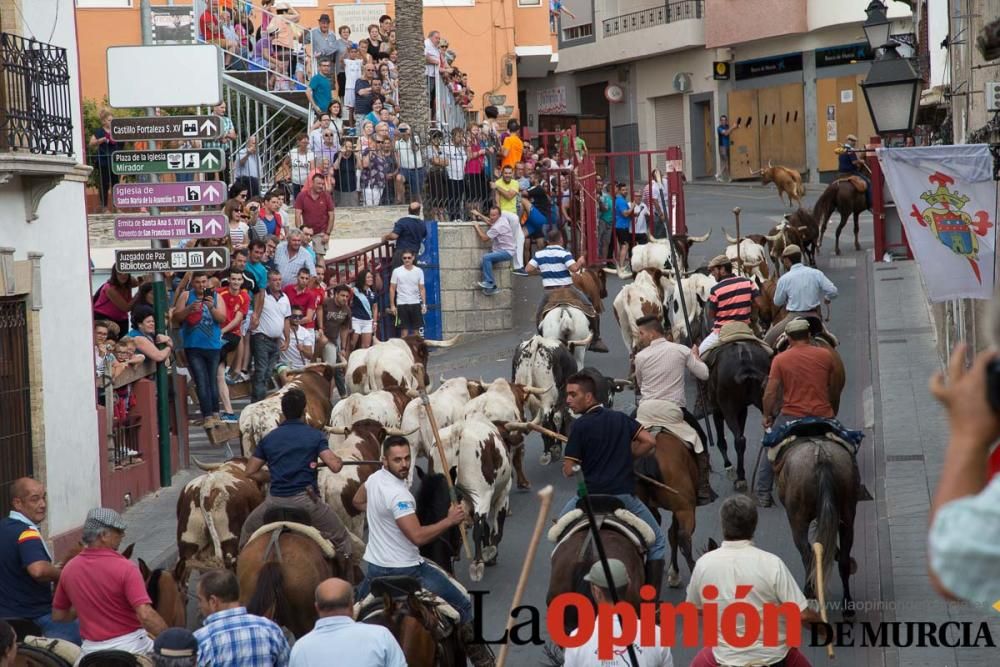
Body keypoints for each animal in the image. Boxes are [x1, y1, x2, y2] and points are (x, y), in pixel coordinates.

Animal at [708, 344, 768, 490]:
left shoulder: (717, 410)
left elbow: (721, 441)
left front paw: (728, 466)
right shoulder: (742, 410)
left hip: (728, 408)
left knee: (739, 440)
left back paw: (740, 477)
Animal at [772, 436, 860, 620]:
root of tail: (821, 457)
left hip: (797, 521)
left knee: (807, 554)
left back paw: (809, 594)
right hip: (847, 514)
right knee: (843, 560)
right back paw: (847, 606)